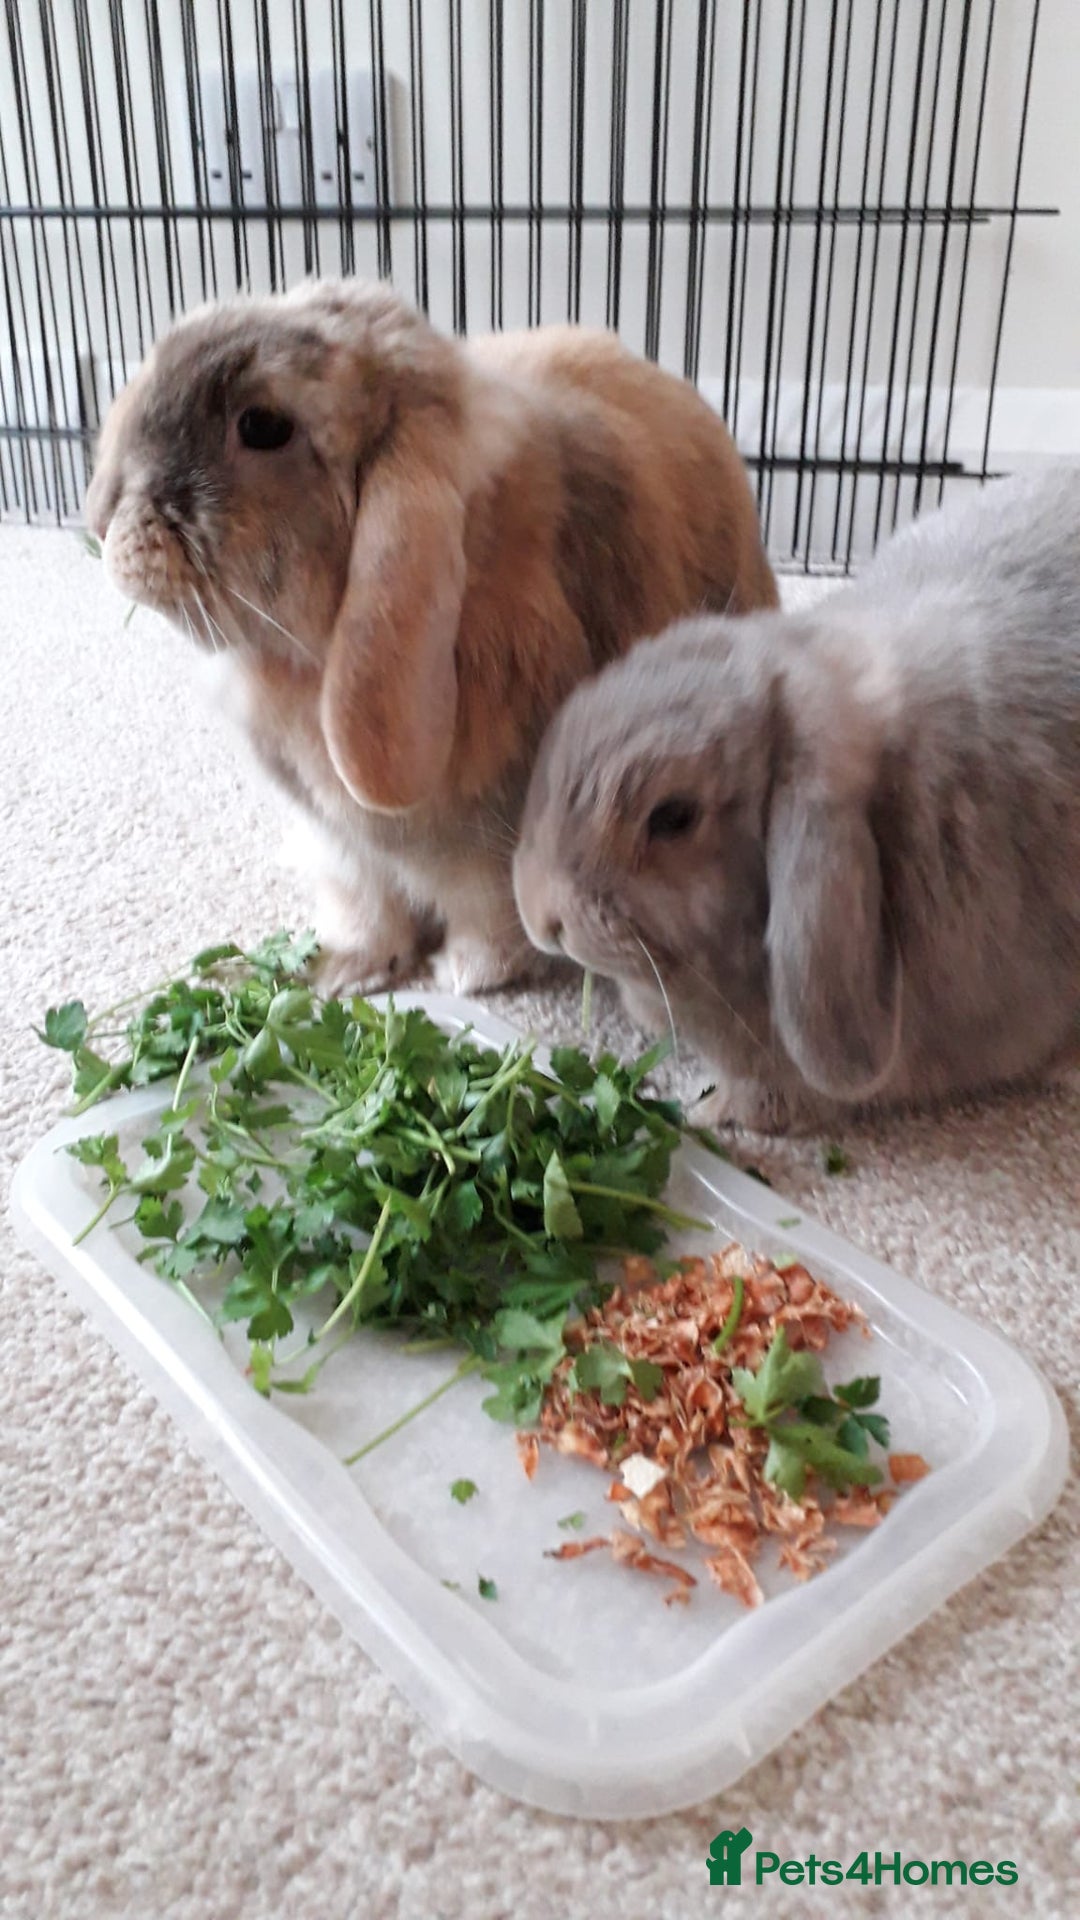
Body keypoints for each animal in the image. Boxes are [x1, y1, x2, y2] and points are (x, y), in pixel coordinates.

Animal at [84, 276, 776, 996]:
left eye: (262, 426)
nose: (99, 516)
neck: (304, 662)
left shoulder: (493, 845)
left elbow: (492, 911)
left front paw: (464, 974)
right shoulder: (339, 845)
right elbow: (363, 904)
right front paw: (347, 972)